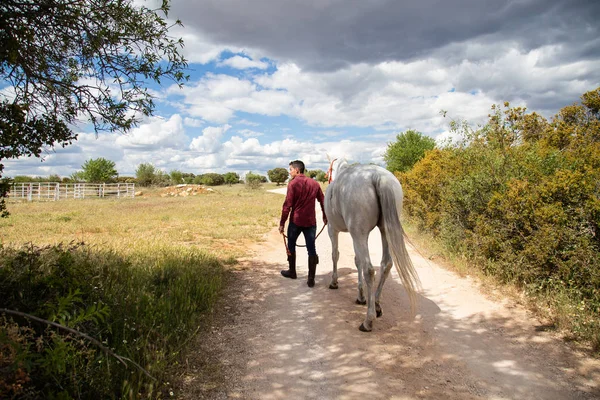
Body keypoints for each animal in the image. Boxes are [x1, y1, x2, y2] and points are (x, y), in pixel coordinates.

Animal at [326, 158, 420, 332]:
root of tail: (377, 176)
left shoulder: (333, 229)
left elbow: (336, 255)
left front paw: (334, 282)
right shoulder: (358, 235)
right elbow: (357, 262)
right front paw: (361, 296)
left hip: (358, 233)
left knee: (369, 270)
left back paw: (368, 321)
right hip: (384, 230)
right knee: (386, 264)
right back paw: (375, 304)